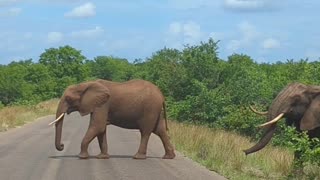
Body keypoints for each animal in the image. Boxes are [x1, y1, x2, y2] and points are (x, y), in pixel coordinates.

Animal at [48, 79, 176, 160]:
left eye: (68, 98)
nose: (62, 145)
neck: (85, 84)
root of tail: (161, 95)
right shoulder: (99, 105)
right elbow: (101, 130)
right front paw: (102, 157)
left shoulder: (103, 105)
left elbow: (97, 126)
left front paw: (82, 157)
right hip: (156, 110)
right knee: (160, 130)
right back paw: (168, 157)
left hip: (150, 109)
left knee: (146, 131)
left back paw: (137, 157)